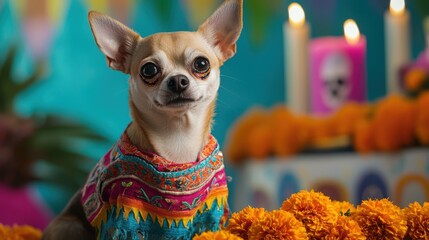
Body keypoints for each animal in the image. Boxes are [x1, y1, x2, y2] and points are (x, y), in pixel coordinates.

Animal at [44, 0, 242, 239]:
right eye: (149, 69)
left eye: (201, 64)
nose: (178, 80)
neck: (178, 139)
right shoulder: (121, 214)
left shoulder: (210, 212)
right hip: (69, 225)